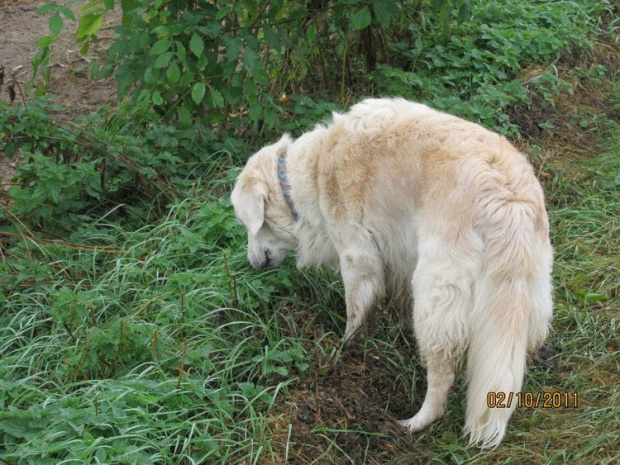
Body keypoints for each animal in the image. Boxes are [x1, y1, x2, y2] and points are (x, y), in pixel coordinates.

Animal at [231, 97, 552, 446]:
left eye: (245, 223)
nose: (250, 264)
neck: (313, 171)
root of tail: (507, 200)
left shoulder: (357, 256)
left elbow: (355, 312)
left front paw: (344, 349)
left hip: (436, 292)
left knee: (442, 373)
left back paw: (415, 422)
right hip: (528, 293)